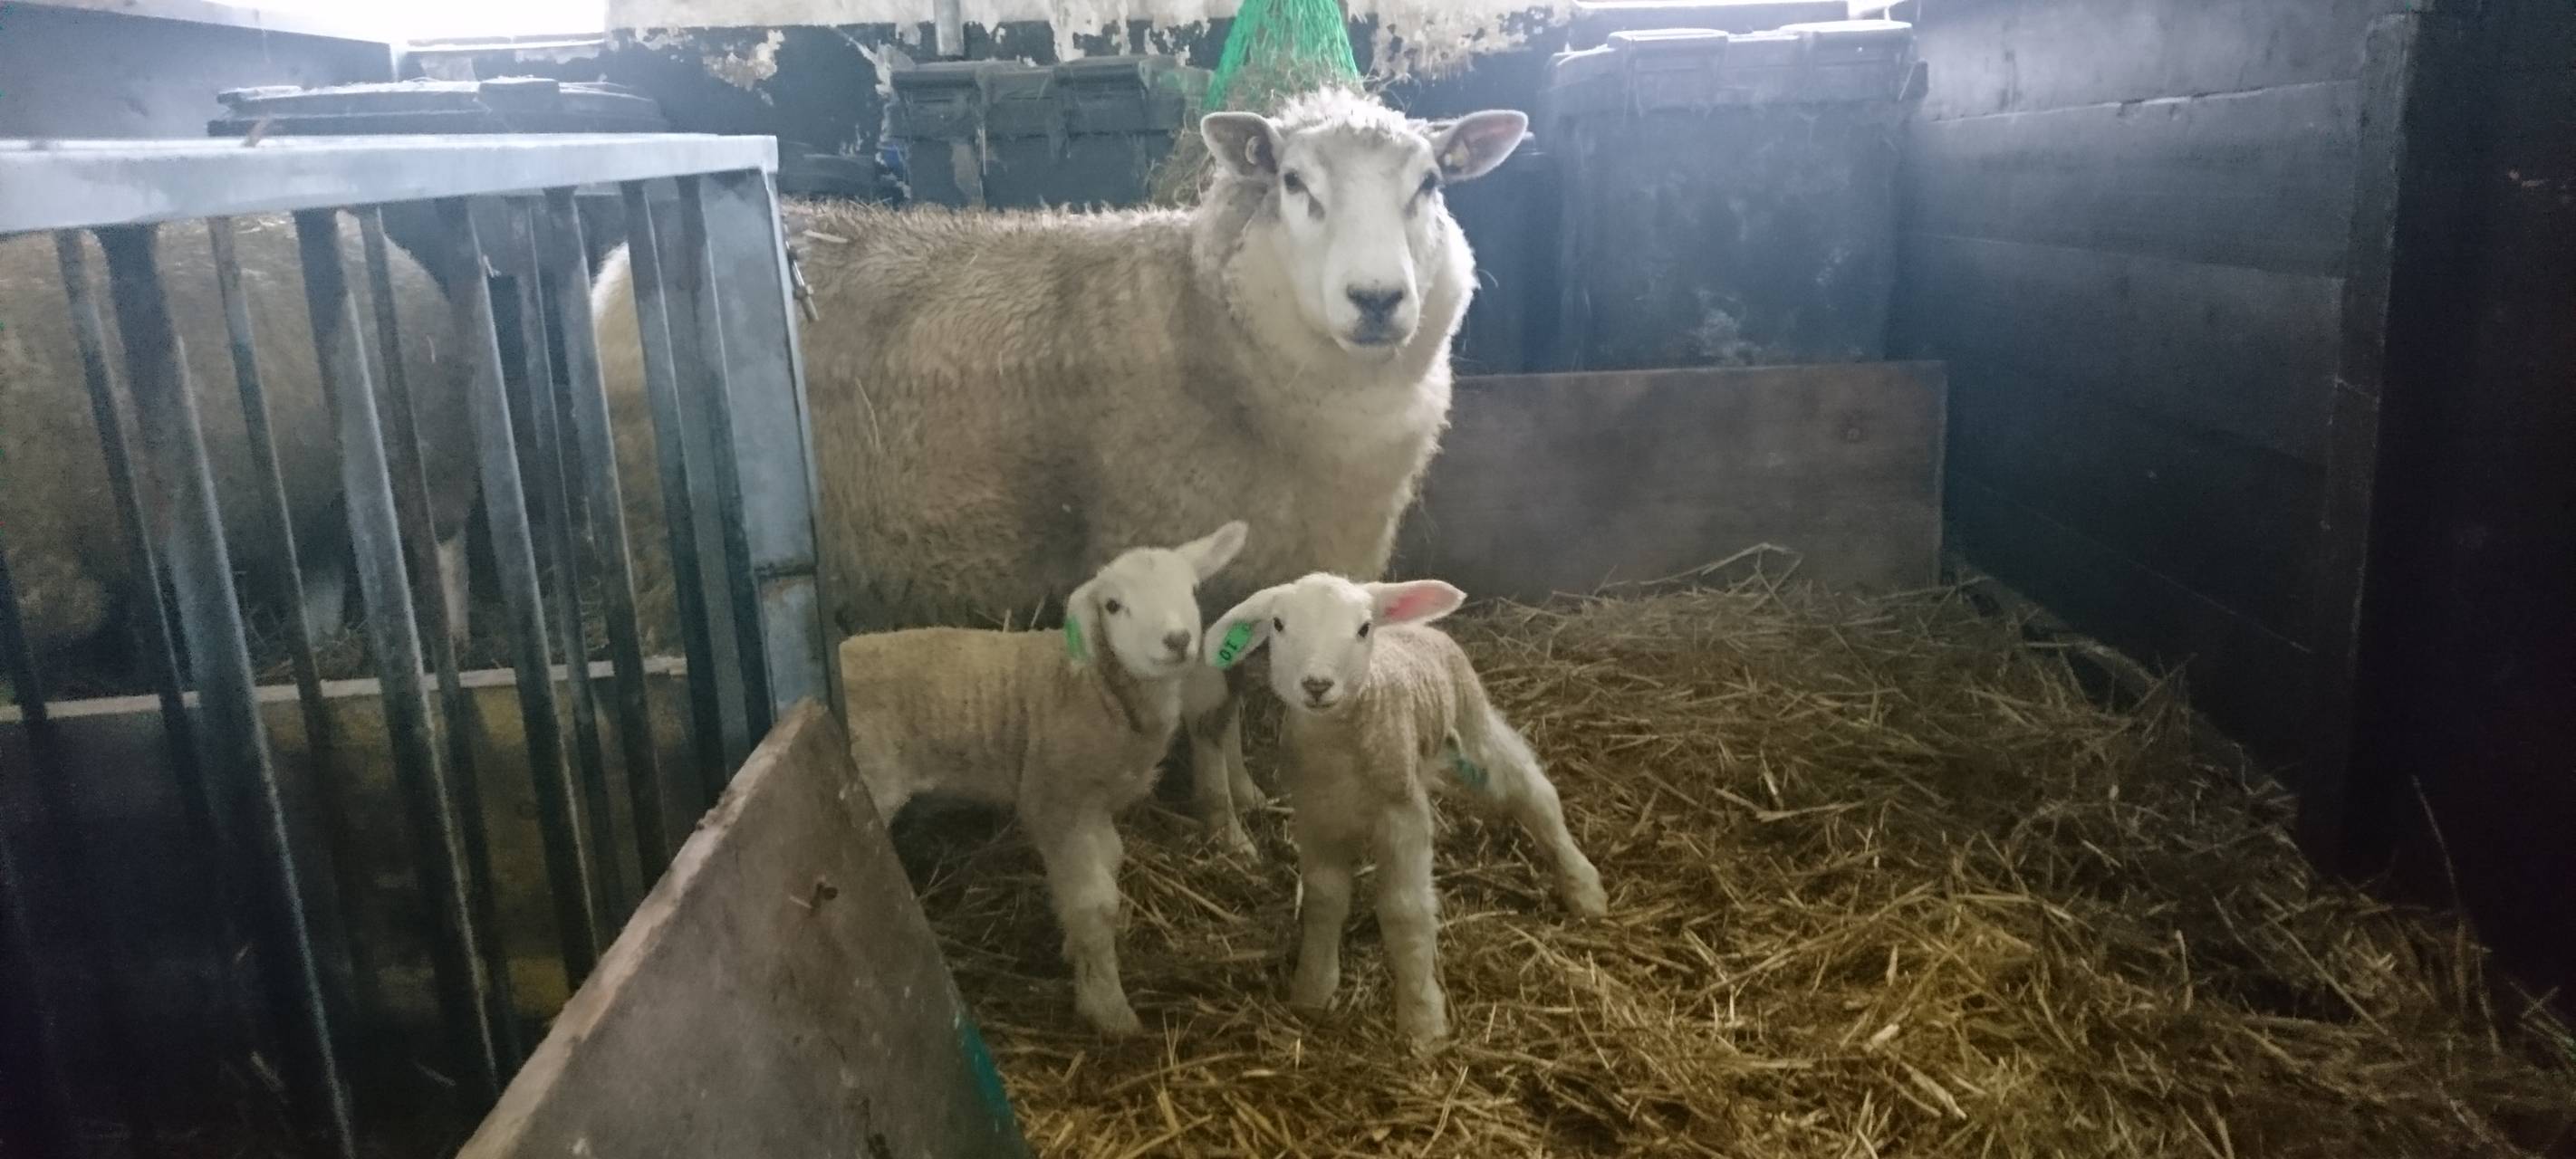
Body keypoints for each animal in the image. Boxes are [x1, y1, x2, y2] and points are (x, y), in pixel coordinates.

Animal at [0, 214, 481, 671]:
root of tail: (405, 258)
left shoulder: (46, 572)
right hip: (317, 497)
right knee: (324, 574)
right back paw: (322, 647)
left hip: (429, 454)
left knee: (446, 546)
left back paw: (454, 642)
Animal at [590, 87, 1534, 855]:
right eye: (1296, 183)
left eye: (1431, 185)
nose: (1378, 301)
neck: (1211, 323)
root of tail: (615, 273)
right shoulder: (1176, 552)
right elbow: (1208, 714)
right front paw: (1225, 828)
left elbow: (1232, 701)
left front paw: (1249, 795)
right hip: (658, 567)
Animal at [838, 520, 1249, 1036]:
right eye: (1113, 606)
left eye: (1193, 589)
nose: (1177, 640)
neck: (1094, 686)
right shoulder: (1054, 798)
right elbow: (1095, 903)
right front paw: (1108, 1009)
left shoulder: (1093, 801)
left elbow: (1110, 863)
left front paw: (1077, 951)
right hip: (872, 779)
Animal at [1205, 573, 1606, 1044]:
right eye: (1279, 624)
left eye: (1363, 629)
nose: (1317, 685)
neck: (1341, 750)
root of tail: (1418, 626)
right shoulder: (1317, 818)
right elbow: (1324, 899)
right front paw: (1313, 989)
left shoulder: (1402, 817)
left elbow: (1405, 912)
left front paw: (1421, 1019)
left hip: (1473, 722)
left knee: (1533, 793)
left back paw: (1584, 888)